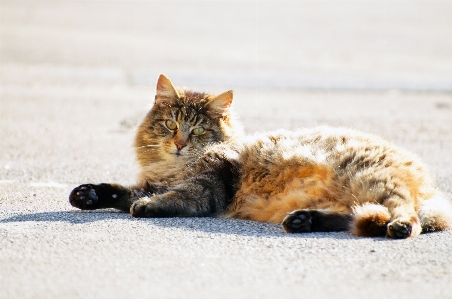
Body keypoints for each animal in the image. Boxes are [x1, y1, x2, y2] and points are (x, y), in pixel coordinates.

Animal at [68, 74, 452, 239]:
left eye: (198, 131)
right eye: (170, 124)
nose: (179, 143)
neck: (174, 167)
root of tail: (431, 188)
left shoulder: (209, 183)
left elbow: (174, 198)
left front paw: (148, 207)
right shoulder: (152, 181)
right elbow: (120, 190)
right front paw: (87, 194)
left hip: (373, 180)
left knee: (402, 215)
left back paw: (398, 228)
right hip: (358, 195)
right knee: (358, 217)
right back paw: (303, 221)